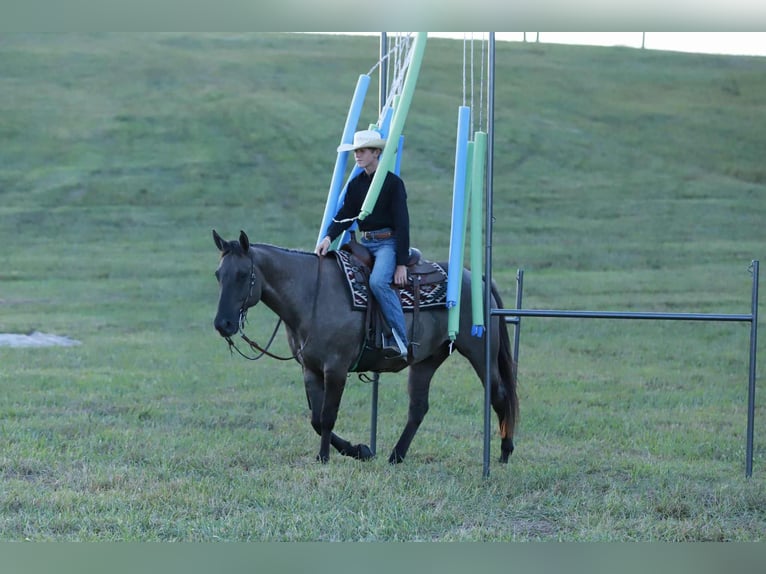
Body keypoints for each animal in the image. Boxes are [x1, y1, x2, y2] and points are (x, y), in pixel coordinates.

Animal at [212, 229, 519, 465]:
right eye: (218, 274)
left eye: (243, 275)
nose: (222, 323)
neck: (312, 294)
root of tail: (475, 277)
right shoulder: (310, 369)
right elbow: (315, 419)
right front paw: (359, 450)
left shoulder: (335, 368)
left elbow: (327, 416)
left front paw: (325, 457)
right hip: (426, 361)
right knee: (418, 408)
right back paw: (396, 456)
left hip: (481, 353)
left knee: (500, 395)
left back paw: (504, 453)